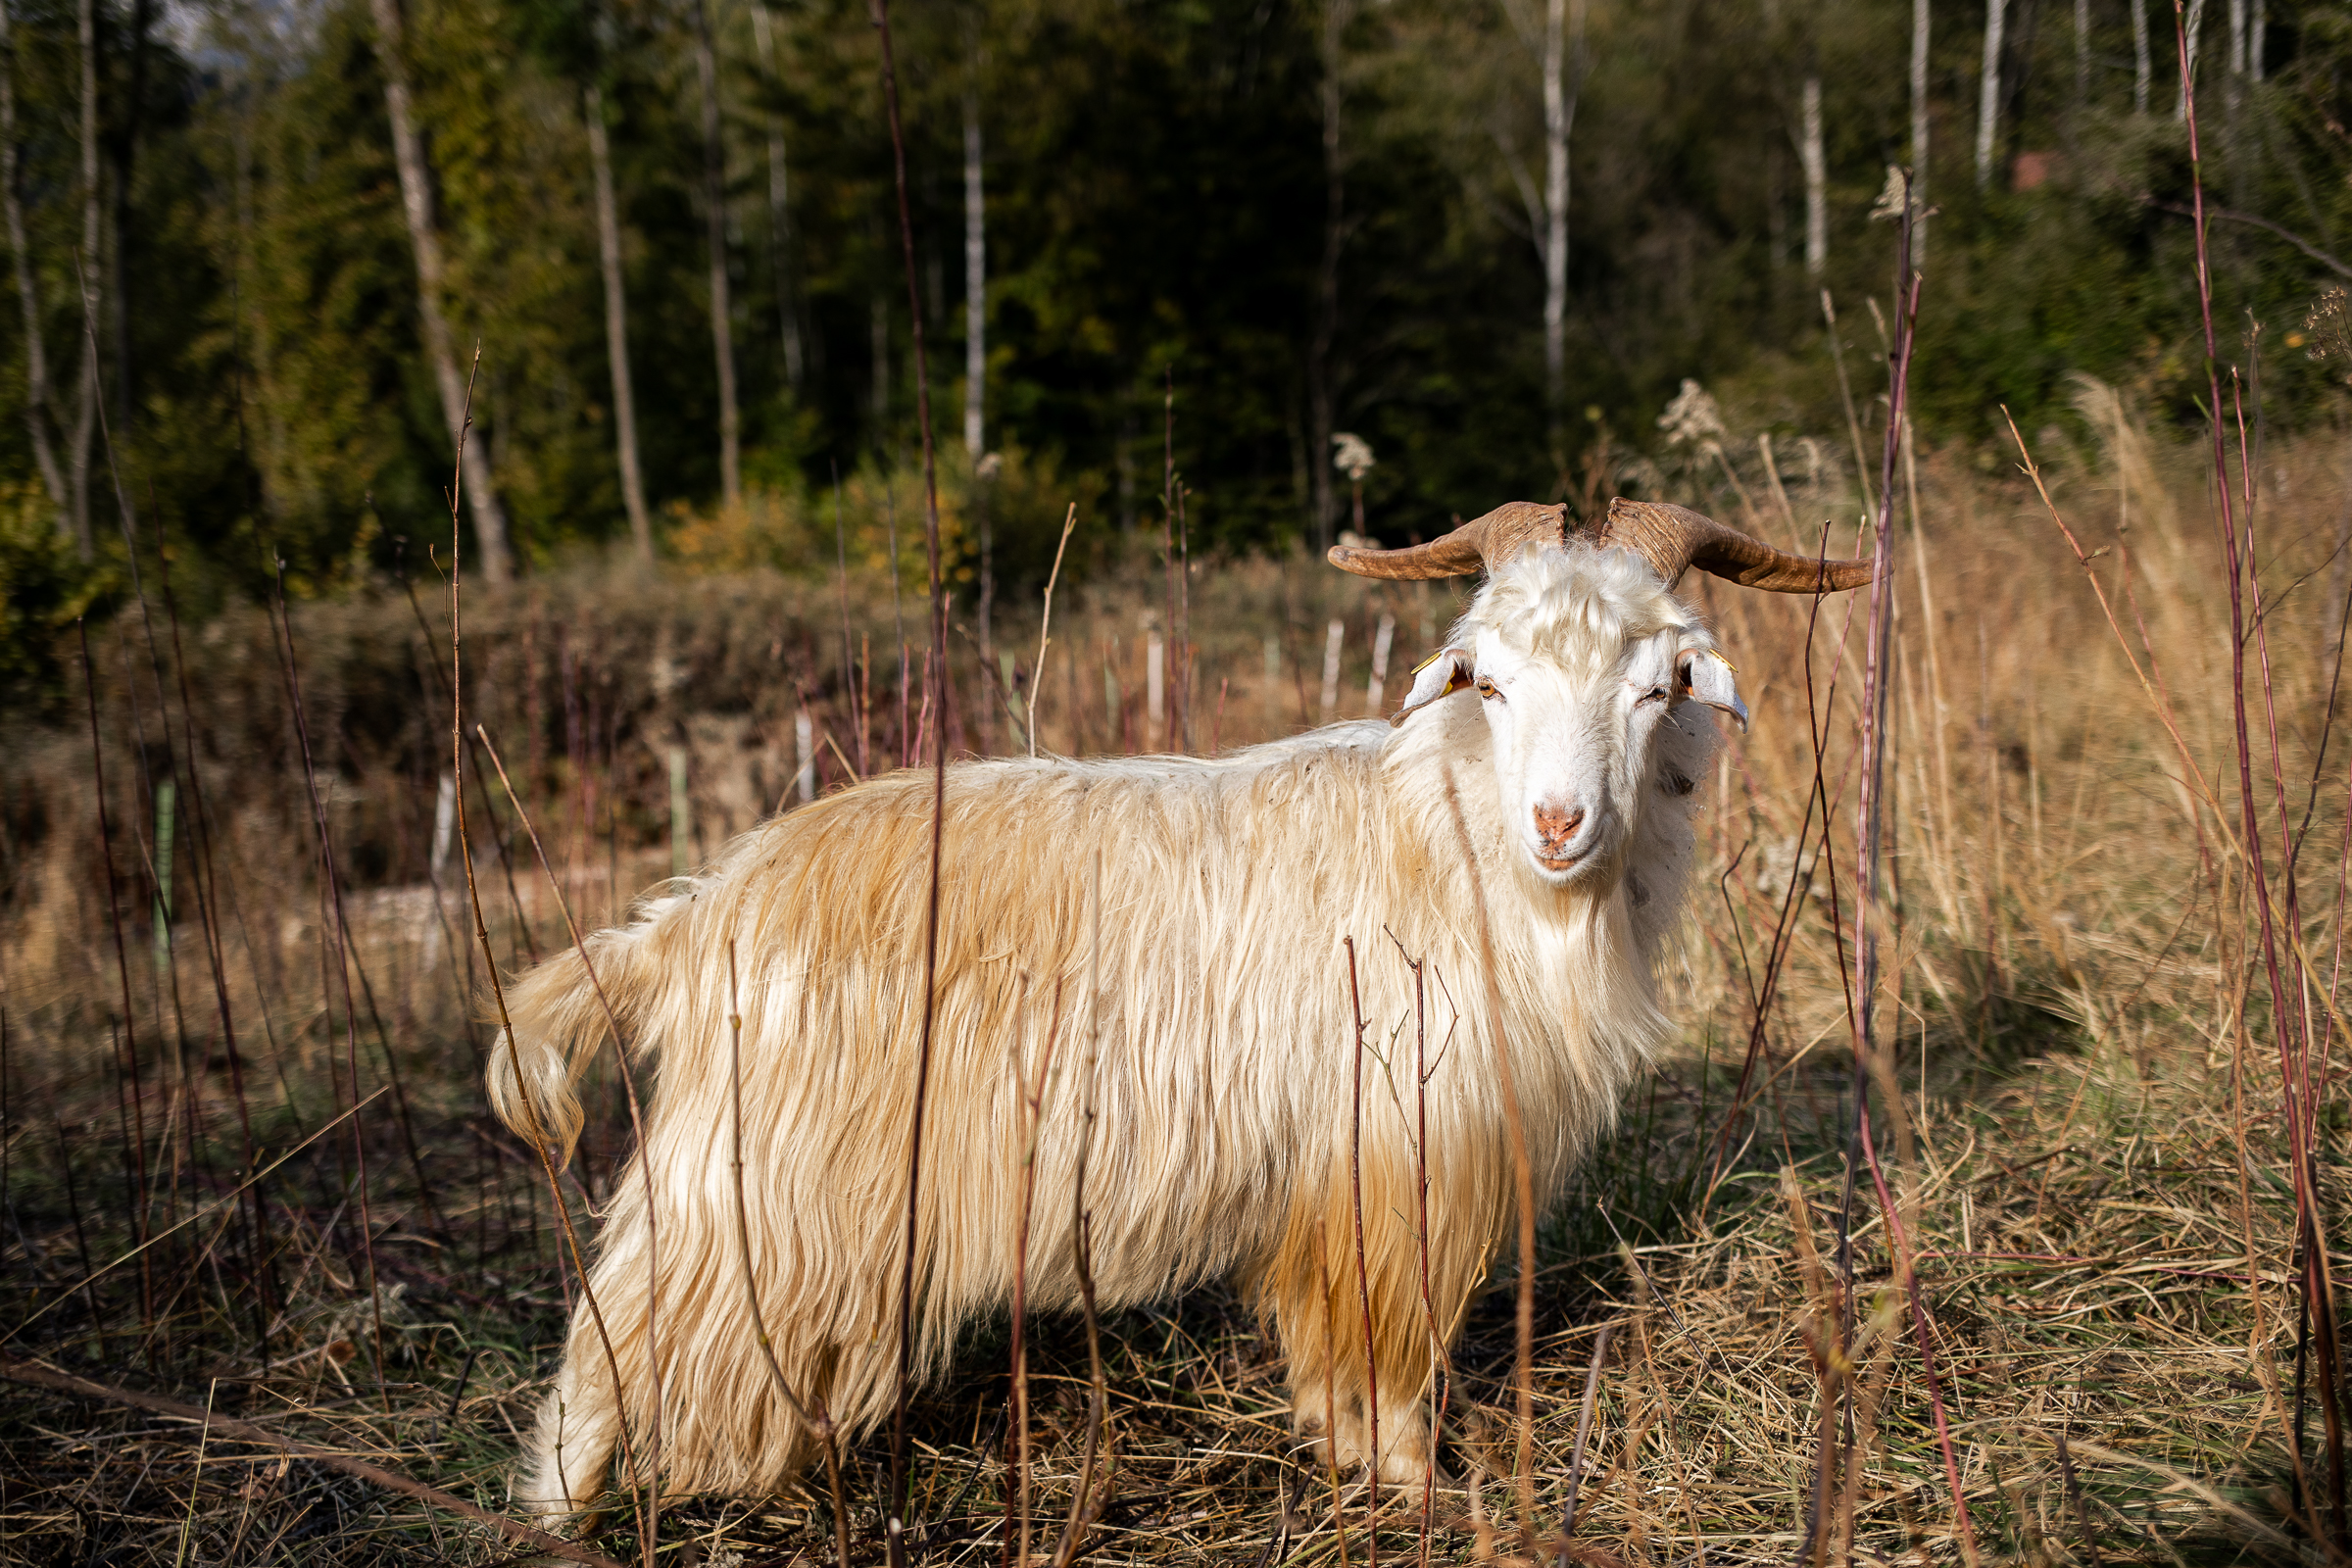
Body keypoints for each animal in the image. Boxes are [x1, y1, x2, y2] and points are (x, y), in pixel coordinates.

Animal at [485, 497, 1871, 1511]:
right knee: (612, 1343)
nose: (1559, 822)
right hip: (754, 1193)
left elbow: (1336, 1345)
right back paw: (570, 1510)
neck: (1455, 839)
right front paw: (1418, 1488)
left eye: (1659, 684)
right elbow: (1391, 1342)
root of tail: (692, 913)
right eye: (1486, 680)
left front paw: (1348, 1459)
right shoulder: (1397, 1152)